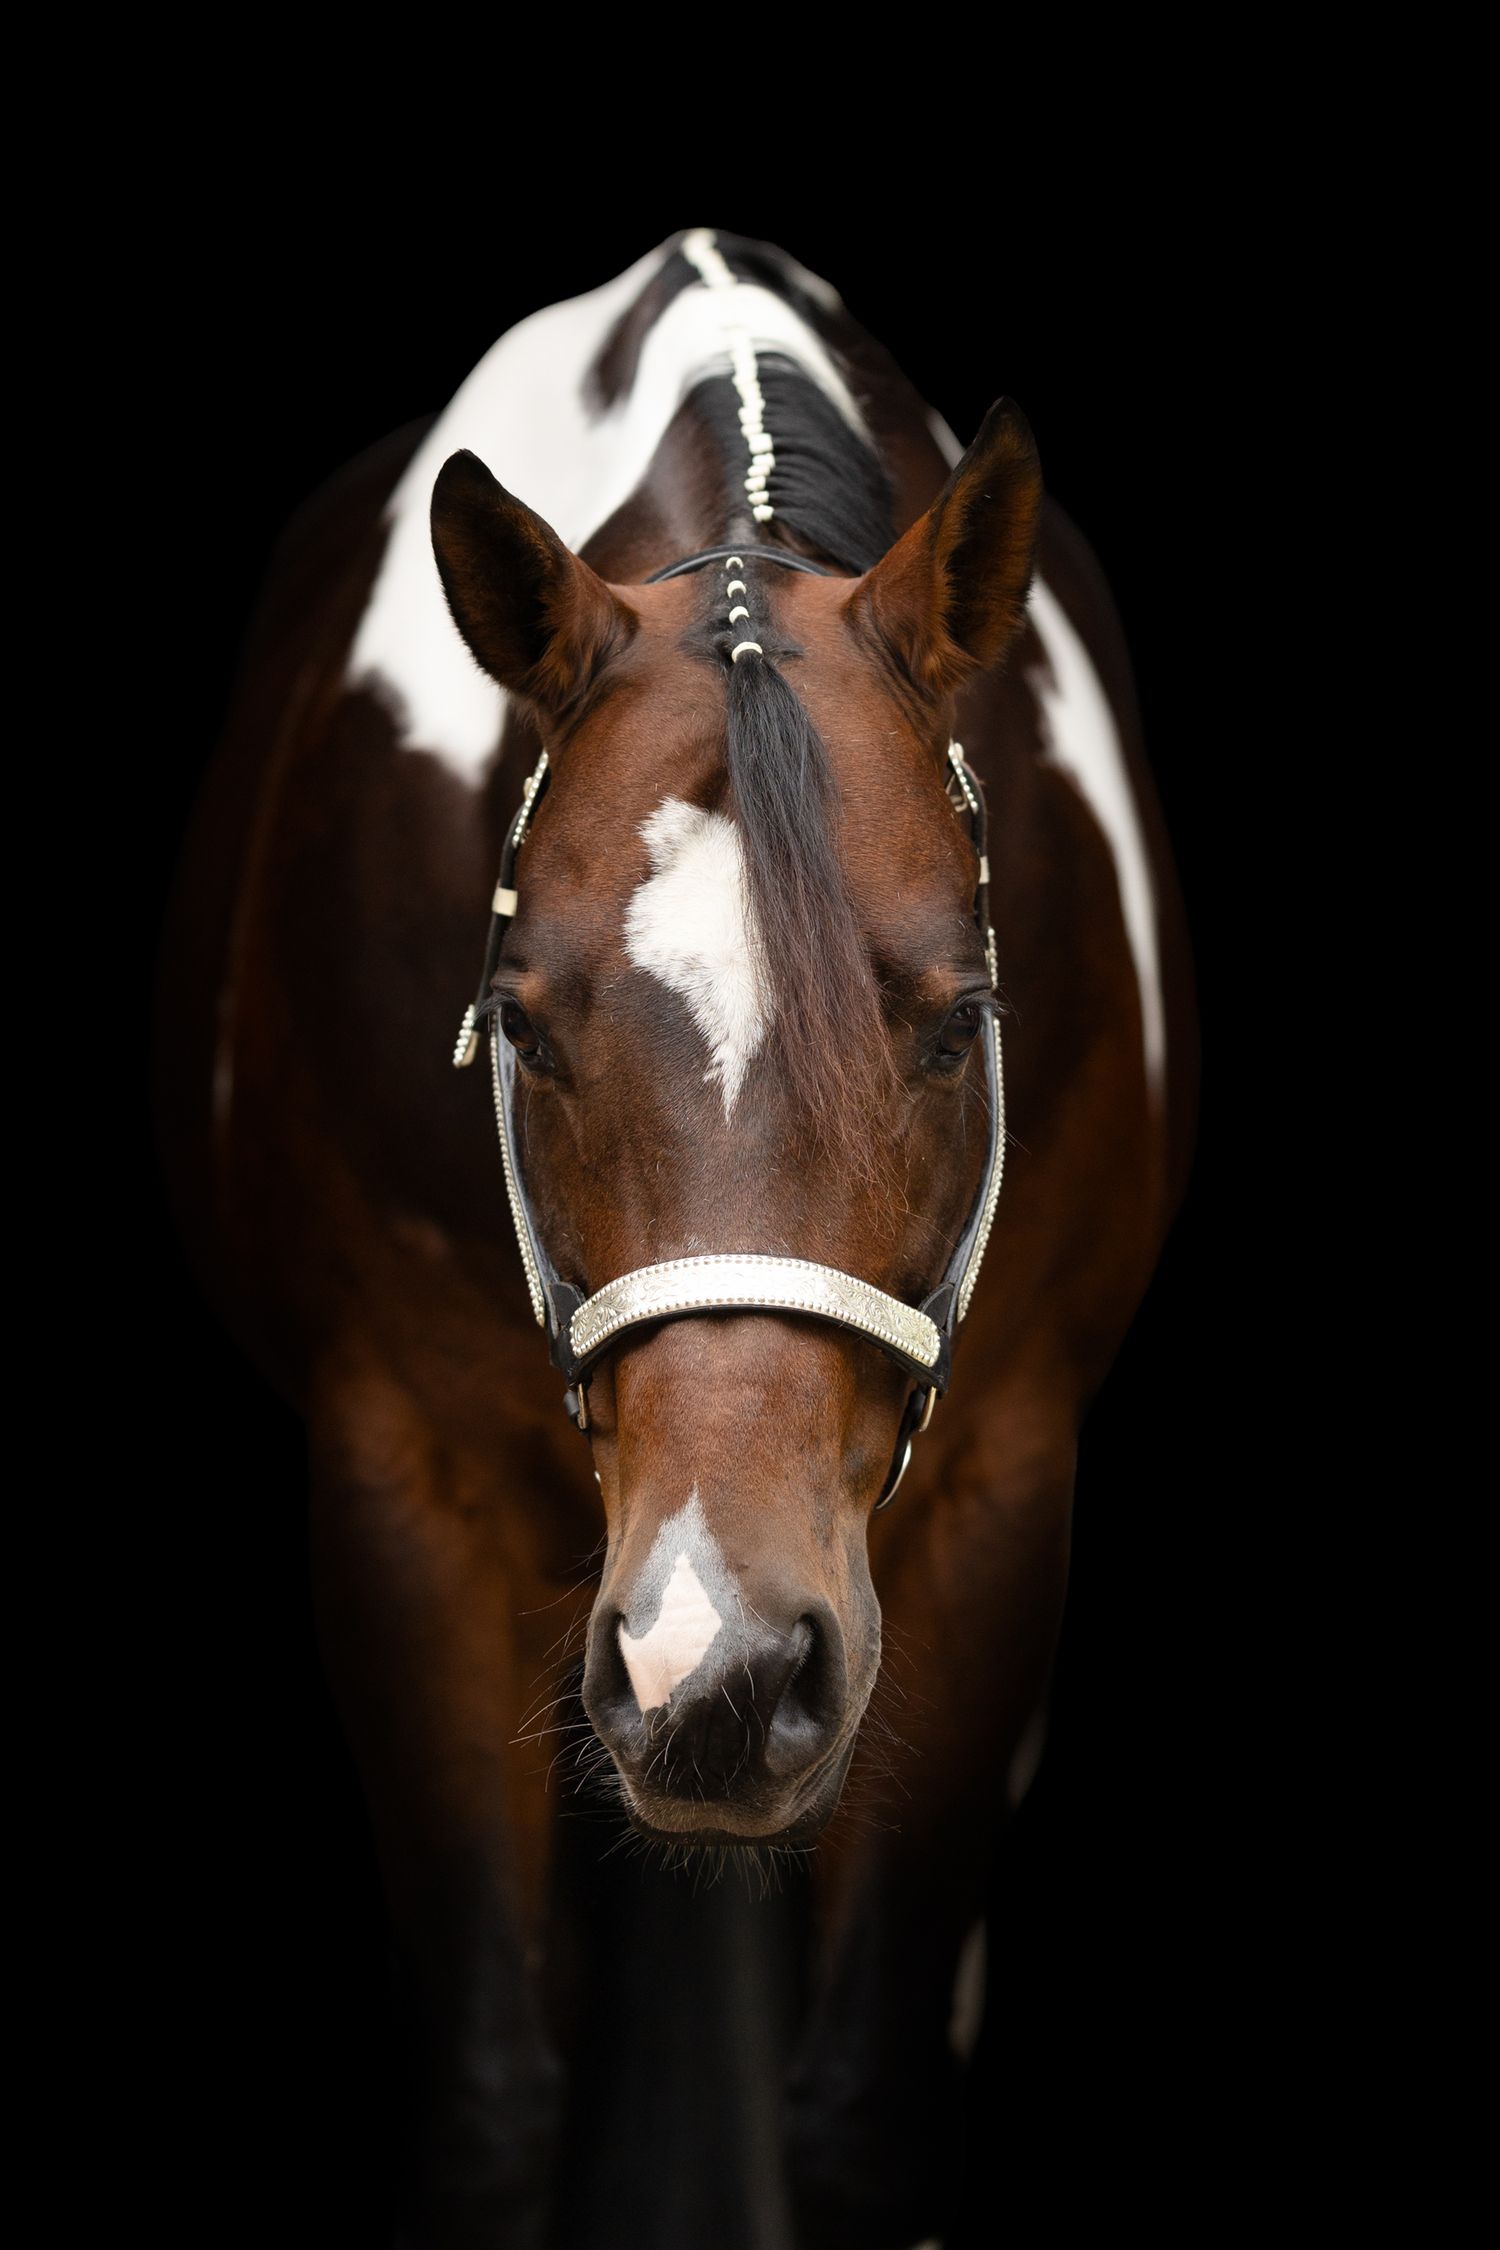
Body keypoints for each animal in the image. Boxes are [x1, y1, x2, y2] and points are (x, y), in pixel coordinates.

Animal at [154, 225, 1195, 2248]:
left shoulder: (1004, 1490)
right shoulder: (405, 1492)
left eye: (956, 1022)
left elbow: (864, 2113)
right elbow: (491, 2103)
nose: (718, 1671)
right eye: (524, 1023)